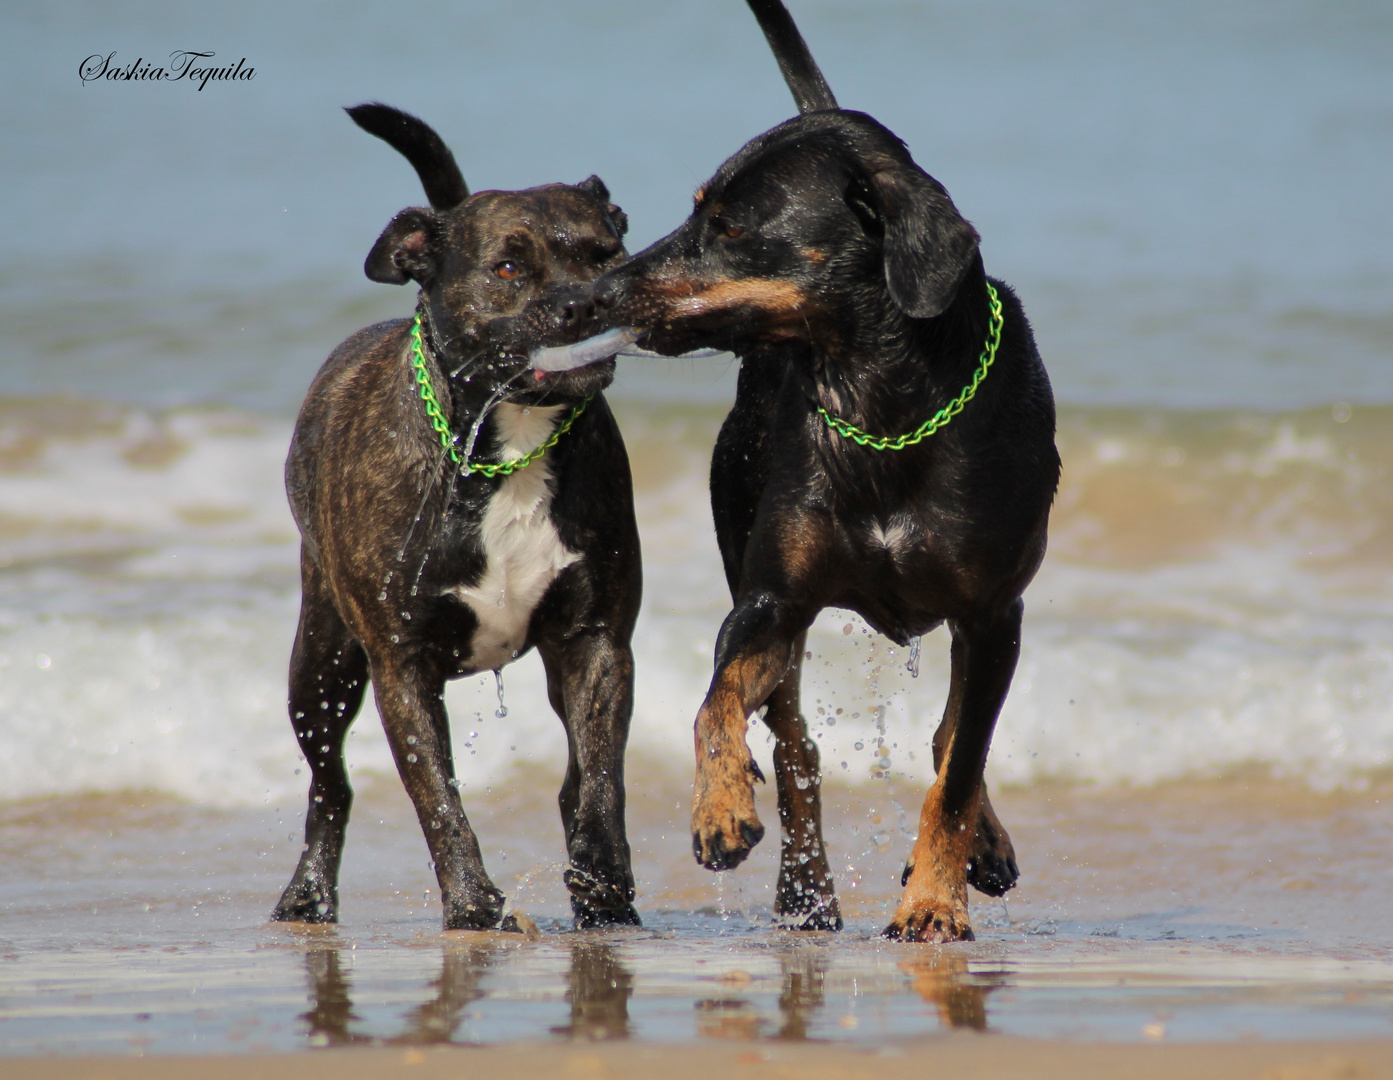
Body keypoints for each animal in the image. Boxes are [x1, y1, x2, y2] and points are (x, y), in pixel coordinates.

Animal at [271, 105, 640, 930]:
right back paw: (307, 893)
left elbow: (600, 778)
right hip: (322, 662)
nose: (585, 303)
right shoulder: (401, 667)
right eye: (507, 268)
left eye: (605, 255)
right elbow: (437, 799)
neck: (508, 440)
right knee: (329, 781)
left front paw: (604, 892)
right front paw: (473, 905)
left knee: (575, 778)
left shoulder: (596, 640)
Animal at [587, 0, 1053, 942]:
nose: (602, 288)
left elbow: (957, 772)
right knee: (793, 740)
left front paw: (931, 903)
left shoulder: (993, 614)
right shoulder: (772, 598)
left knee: (954, 740)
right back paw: (803, 890)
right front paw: (718, 809)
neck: (880, 404)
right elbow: (716, 701)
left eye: (731, 226)